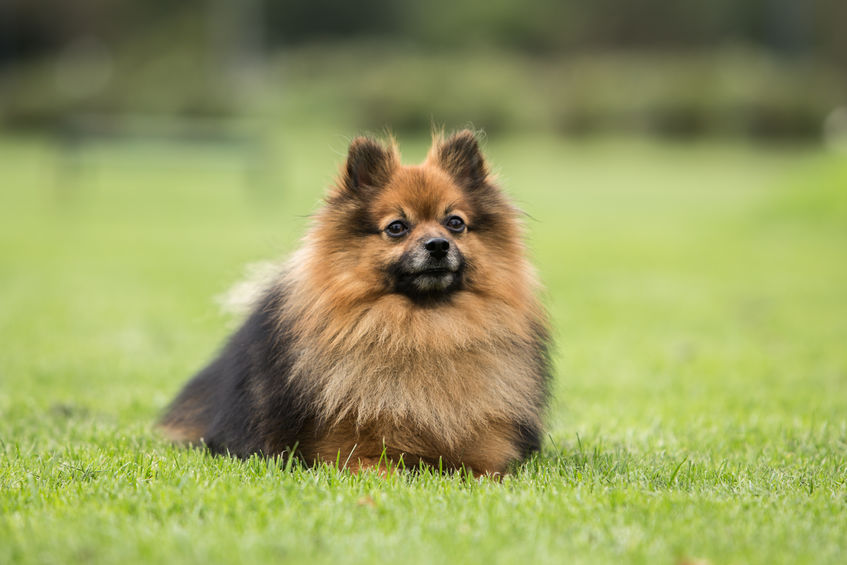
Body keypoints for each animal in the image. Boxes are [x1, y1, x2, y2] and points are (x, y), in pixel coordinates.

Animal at [160, 130, 552, 474]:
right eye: (396, 227)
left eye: (455, 223)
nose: (438, 245)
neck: (426, 330)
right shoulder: (351, 453)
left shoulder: (486, 452)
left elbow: (486, 470)